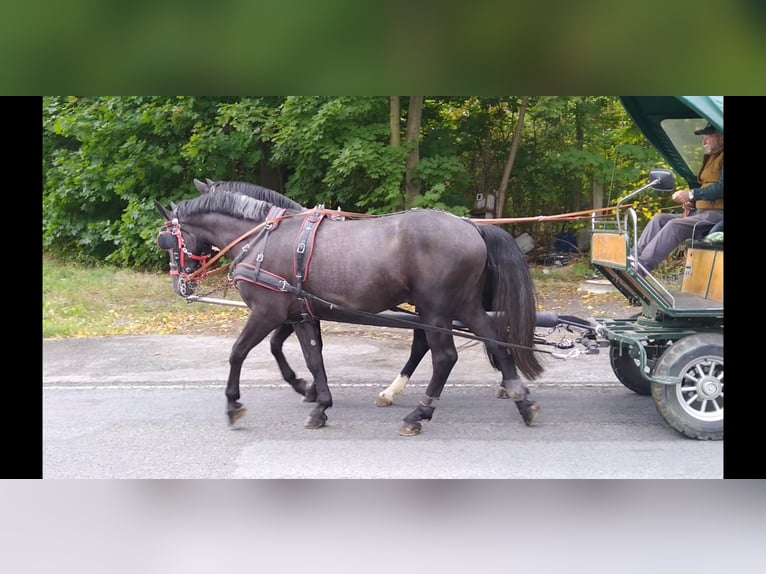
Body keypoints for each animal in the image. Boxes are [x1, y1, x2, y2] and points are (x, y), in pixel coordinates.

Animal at [156, 191, 544, 434]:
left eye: (169, 241)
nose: (180, 284)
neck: (262, 238)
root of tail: (472, 225)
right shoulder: (301, 314)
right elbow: (312, 358)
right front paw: (318, 401)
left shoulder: (267, 312)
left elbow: (238, 353)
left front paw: (233, 405)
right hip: (462, 305)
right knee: (493, 339)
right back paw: (521, 400)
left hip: (436, 309)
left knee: (444, 356)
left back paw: (418, 413)